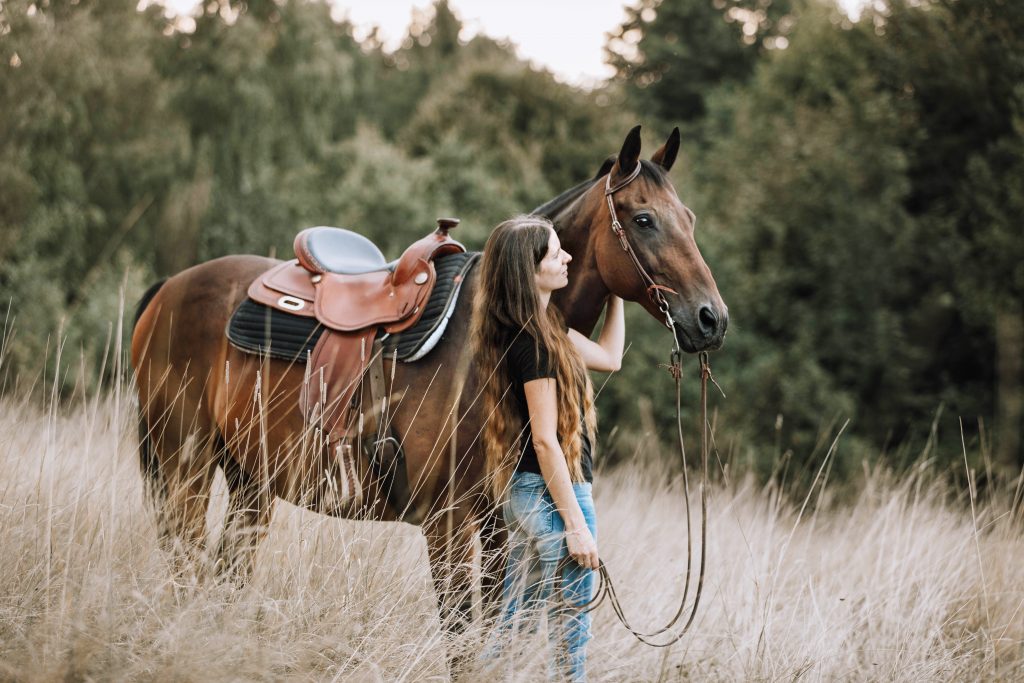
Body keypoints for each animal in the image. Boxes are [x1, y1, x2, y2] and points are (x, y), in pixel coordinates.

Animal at [132, 127, 729, 643]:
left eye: (690, 218)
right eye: (644, 218)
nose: (711, 319)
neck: (488, 341)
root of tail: (170, 289)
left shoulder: (498, 530)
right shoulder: (447, 526)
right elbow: (461, 639)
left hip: (251, 481)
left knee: (227, 572)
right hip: (184, 468)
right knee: (185, 566)